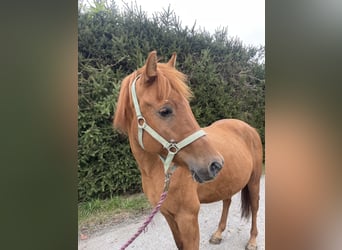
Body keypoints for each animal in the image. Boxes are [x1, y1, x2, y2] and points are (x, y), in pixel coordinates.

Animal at [114, 51, 262, 250]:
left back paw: (252, 241)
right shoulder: (169, 216)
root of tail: (249, 128)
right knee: (227, 201)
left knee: (254, 207)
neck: (157, 173)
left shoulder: (188, 218)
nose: (215, 164)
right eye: (165, 111)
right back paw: (218, 233)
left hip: (254, 181)